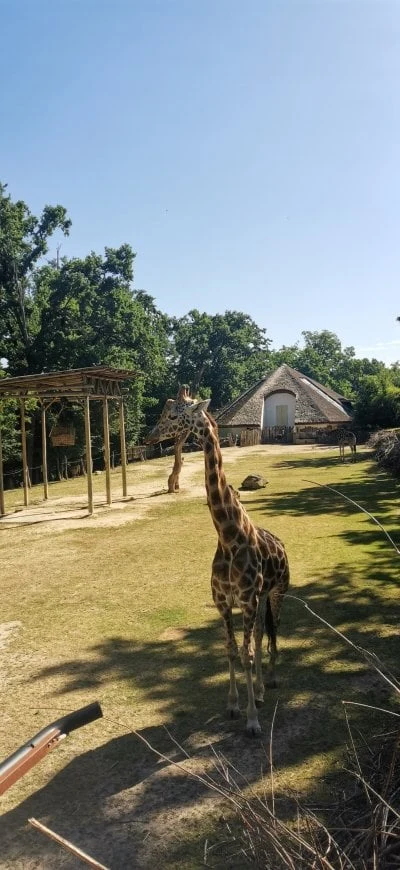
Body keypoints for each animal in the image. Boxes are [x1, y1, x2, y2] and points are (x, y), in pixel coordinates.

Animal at [147, 397, 290, 735]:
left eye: (173, 415)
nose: (150, 437)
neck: (228, 536)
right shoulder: (224, 601)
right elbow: (231, 649)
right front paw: (234, 705)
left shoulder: (247, 600)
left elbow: (246, 653)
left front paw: (253, 720)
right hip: (261, 598)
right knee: (261, 633)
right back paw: (260, 691)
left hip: (277, 592)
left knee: (273, 629)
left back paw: (272, 681)